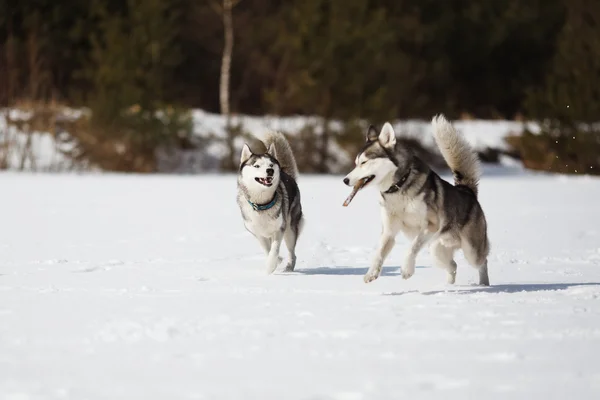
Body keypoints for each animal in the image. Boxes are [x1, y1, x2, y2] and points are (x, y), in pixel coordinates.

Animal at [237, 132, 304, 276]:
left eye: (271, 165)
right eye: (256, 166)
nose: (270, 171)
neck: (262, 204)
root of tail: (286, 173)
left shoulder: (279, 229)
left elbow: (274, 250)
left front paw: (270, 267)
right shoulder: (258, 233)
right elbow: (267, 250)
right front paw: (277, 261)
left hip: (290, 230)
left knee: (292, 253)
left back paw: (289, 268)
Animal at [344, 114, 490, 286]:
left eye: (364, 162)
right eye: (355, 164)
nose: (345, 180)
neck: (398, 187)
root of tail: (467, 191)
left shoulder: (431, 226)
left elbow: (412, 247)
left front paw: (407, 270)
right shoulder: (389, 232)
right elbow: (379, 253)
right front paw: (371, 274)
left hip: (471, 251)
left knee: (482, 261)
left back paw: (484, 284)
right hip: (436, 250)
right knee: (453, 265)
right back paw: (448, 286)